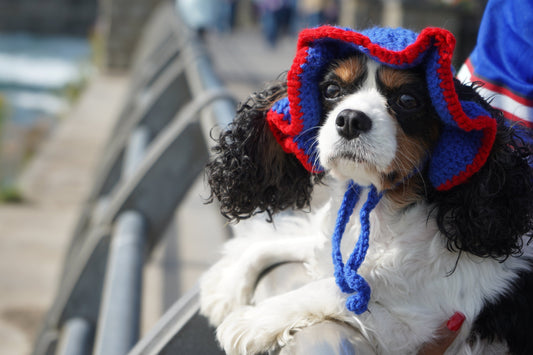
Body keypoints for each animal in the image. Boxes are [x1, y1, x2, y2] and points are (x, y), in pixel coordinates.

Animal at [200, 26, 532, 354]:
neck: (376, 209)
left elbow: (338, 291)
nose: (350, 119)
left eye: (407, 99)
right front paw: (226, 289)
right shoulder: (333, 247)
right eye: (332, 90)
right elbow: (273, 247)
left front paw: (251, 321)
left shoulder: (424, 326)